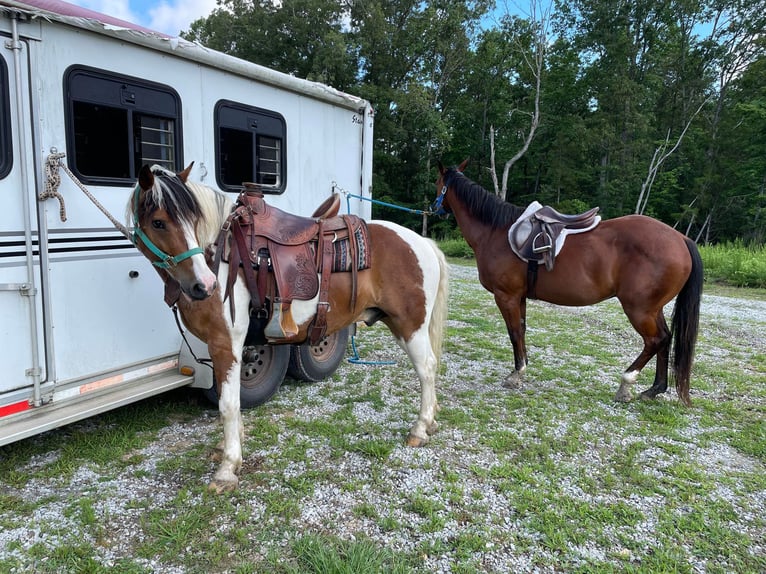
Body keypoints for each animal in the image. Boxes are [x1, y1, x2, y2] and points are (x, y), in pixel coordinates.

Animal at [130, 164, 450, 492]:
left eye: (193, 220)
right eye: (158, 222)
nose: (204, 285)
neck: (222, 258)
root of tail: (422, 243)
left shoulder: (225, 343)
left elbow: (228, 404)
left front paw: (228, 467)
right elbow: (230, 400)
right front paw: (229, 446)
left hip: (410, 326)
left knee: (427, 368)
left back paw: (420, 428)